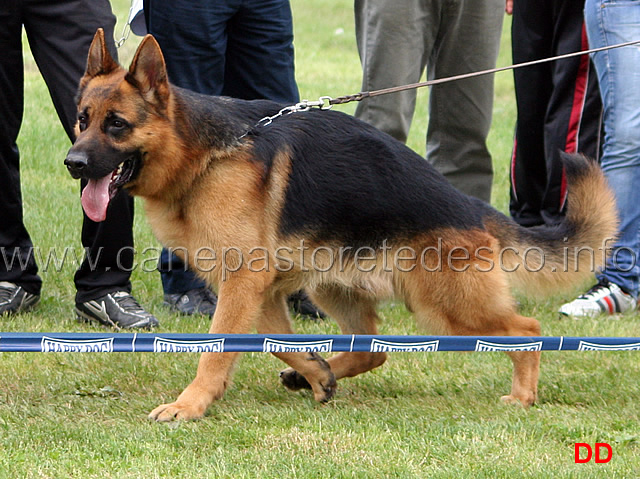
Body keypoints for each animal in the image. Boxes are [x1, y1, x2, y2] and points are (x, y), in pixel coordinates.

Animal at [63, 30, 616, 422]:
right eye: (82, 119)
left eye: (117, 124)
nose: (72, 163)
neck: (204, 155)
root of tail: (466, 203)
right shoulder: (258, 290)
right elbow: (276, 340)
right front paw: (314, 373)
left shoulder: (243, 285)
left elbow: (219, 352)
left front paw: (190, 404)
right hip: (333, 287)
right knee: (372, 349)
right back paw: (319, 375)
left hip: (446, 307)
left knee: (527, 329)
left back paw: (523, 395)